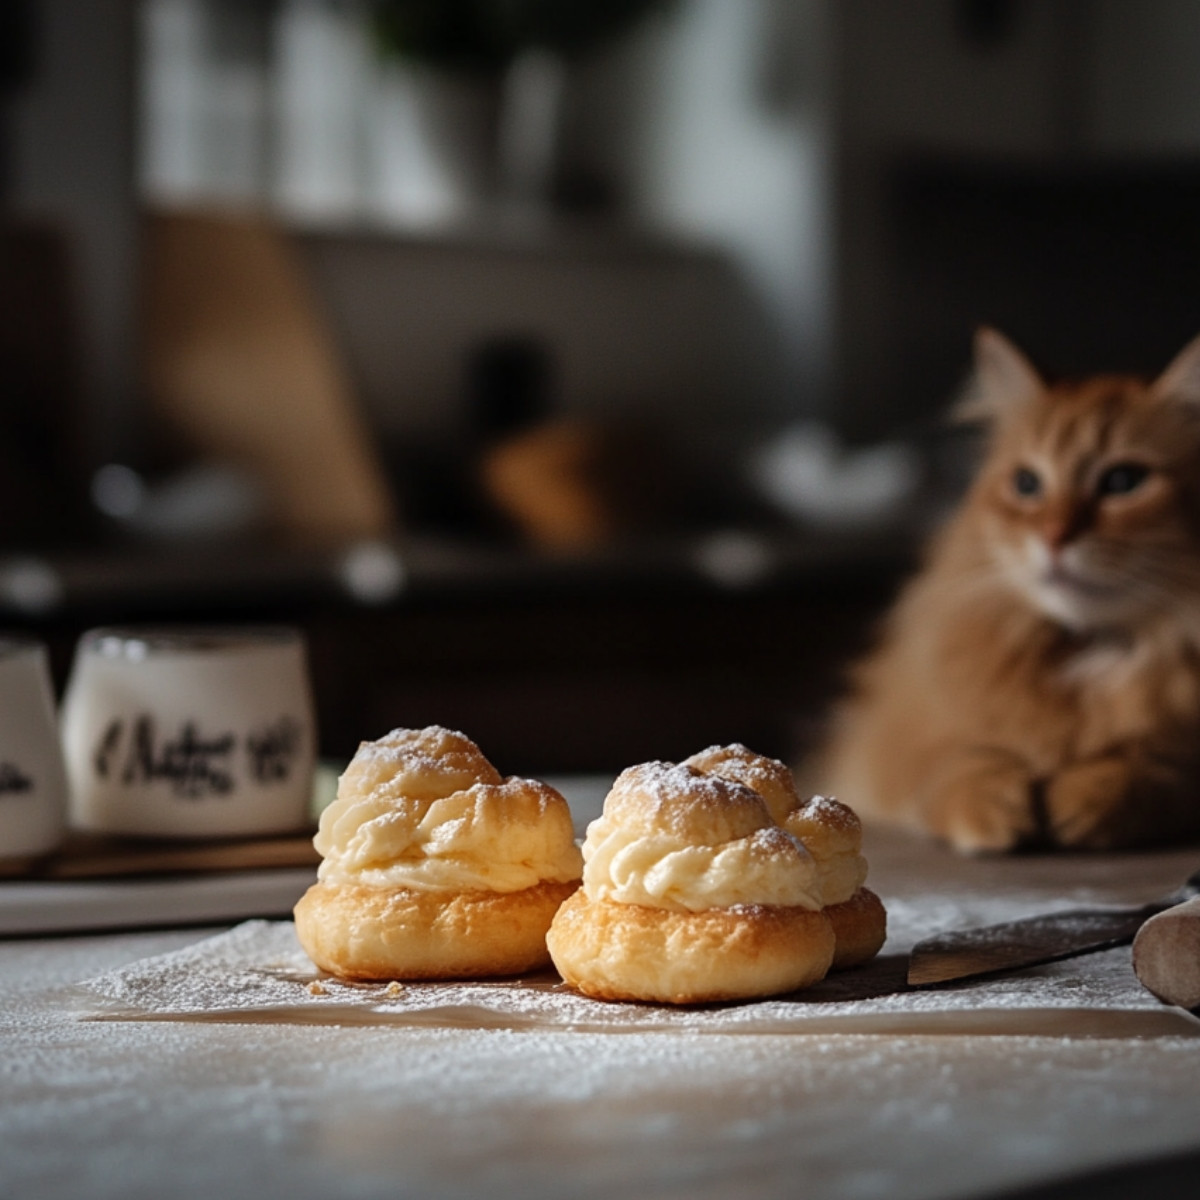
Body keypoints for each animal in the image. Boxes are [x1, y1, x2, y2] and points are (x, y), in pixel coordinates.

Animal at [820, 328, 1200, 854]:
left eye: (1124, 481)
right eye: (1026, 483)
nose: (1054, 537)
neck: (1085, 653)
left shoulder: (1180, 771)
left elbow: (1146, 771)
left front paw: (1083, 801)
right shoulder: (894, 746)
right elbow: (960, 762)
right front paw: (995, 810)